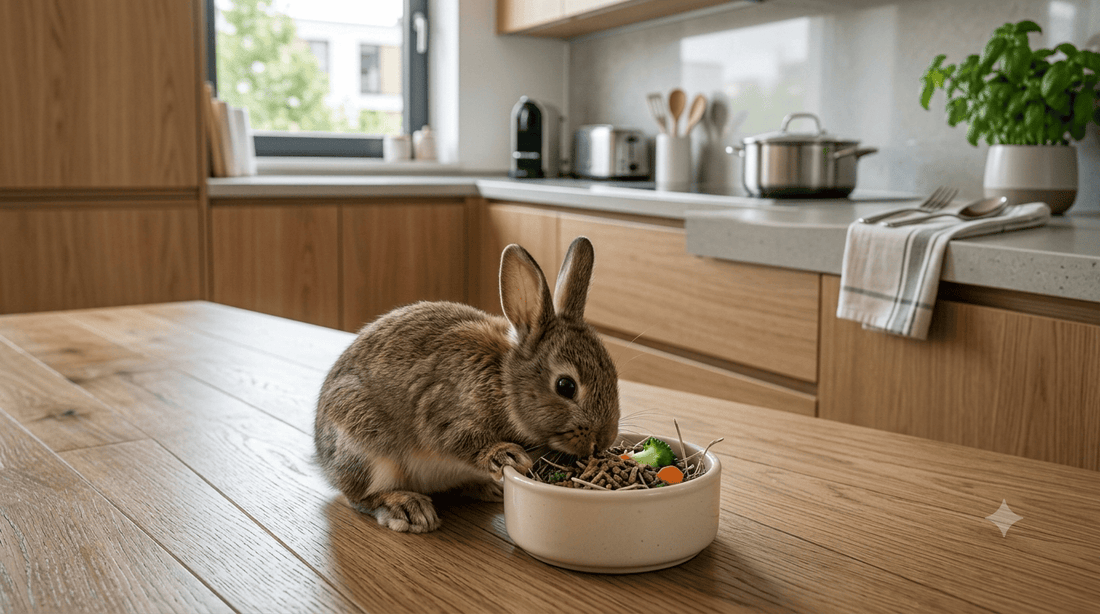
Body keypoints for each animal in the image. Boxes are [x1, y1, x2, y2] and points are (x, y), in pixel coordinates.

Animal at [314, 236, 620, 533]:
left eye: (614, 373)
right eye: (566, 386)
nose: (603, 441)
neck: (504, 382)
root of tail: (324, 461)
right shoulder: (443, 414)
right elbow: (459, 440)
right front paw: (506, 455)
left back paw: (489, 488)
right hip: (366, 450)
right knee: (360, 497)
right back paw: (407, 508)